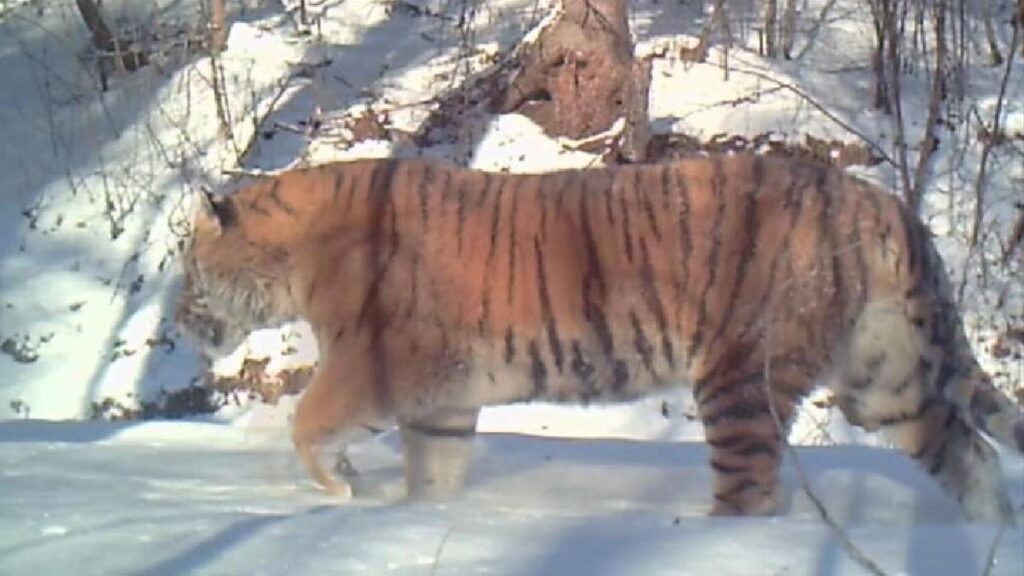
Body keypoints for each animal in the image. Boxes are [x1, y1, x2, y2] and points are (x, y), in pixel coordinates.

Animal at [175, 153, 1024, 520]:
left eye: (185, 269)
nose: (180, 322)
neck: (294, 255)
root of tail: (880, 199)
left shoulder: (372, 361)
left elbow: (305, 422)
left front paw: (343, 490)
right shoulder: (440, 397)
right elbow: (434, 473)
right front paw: (416, 520)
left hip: (739, 378)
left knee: (750, 489)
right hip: (885, 378)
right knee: (973, 458)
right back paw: (984, 541)